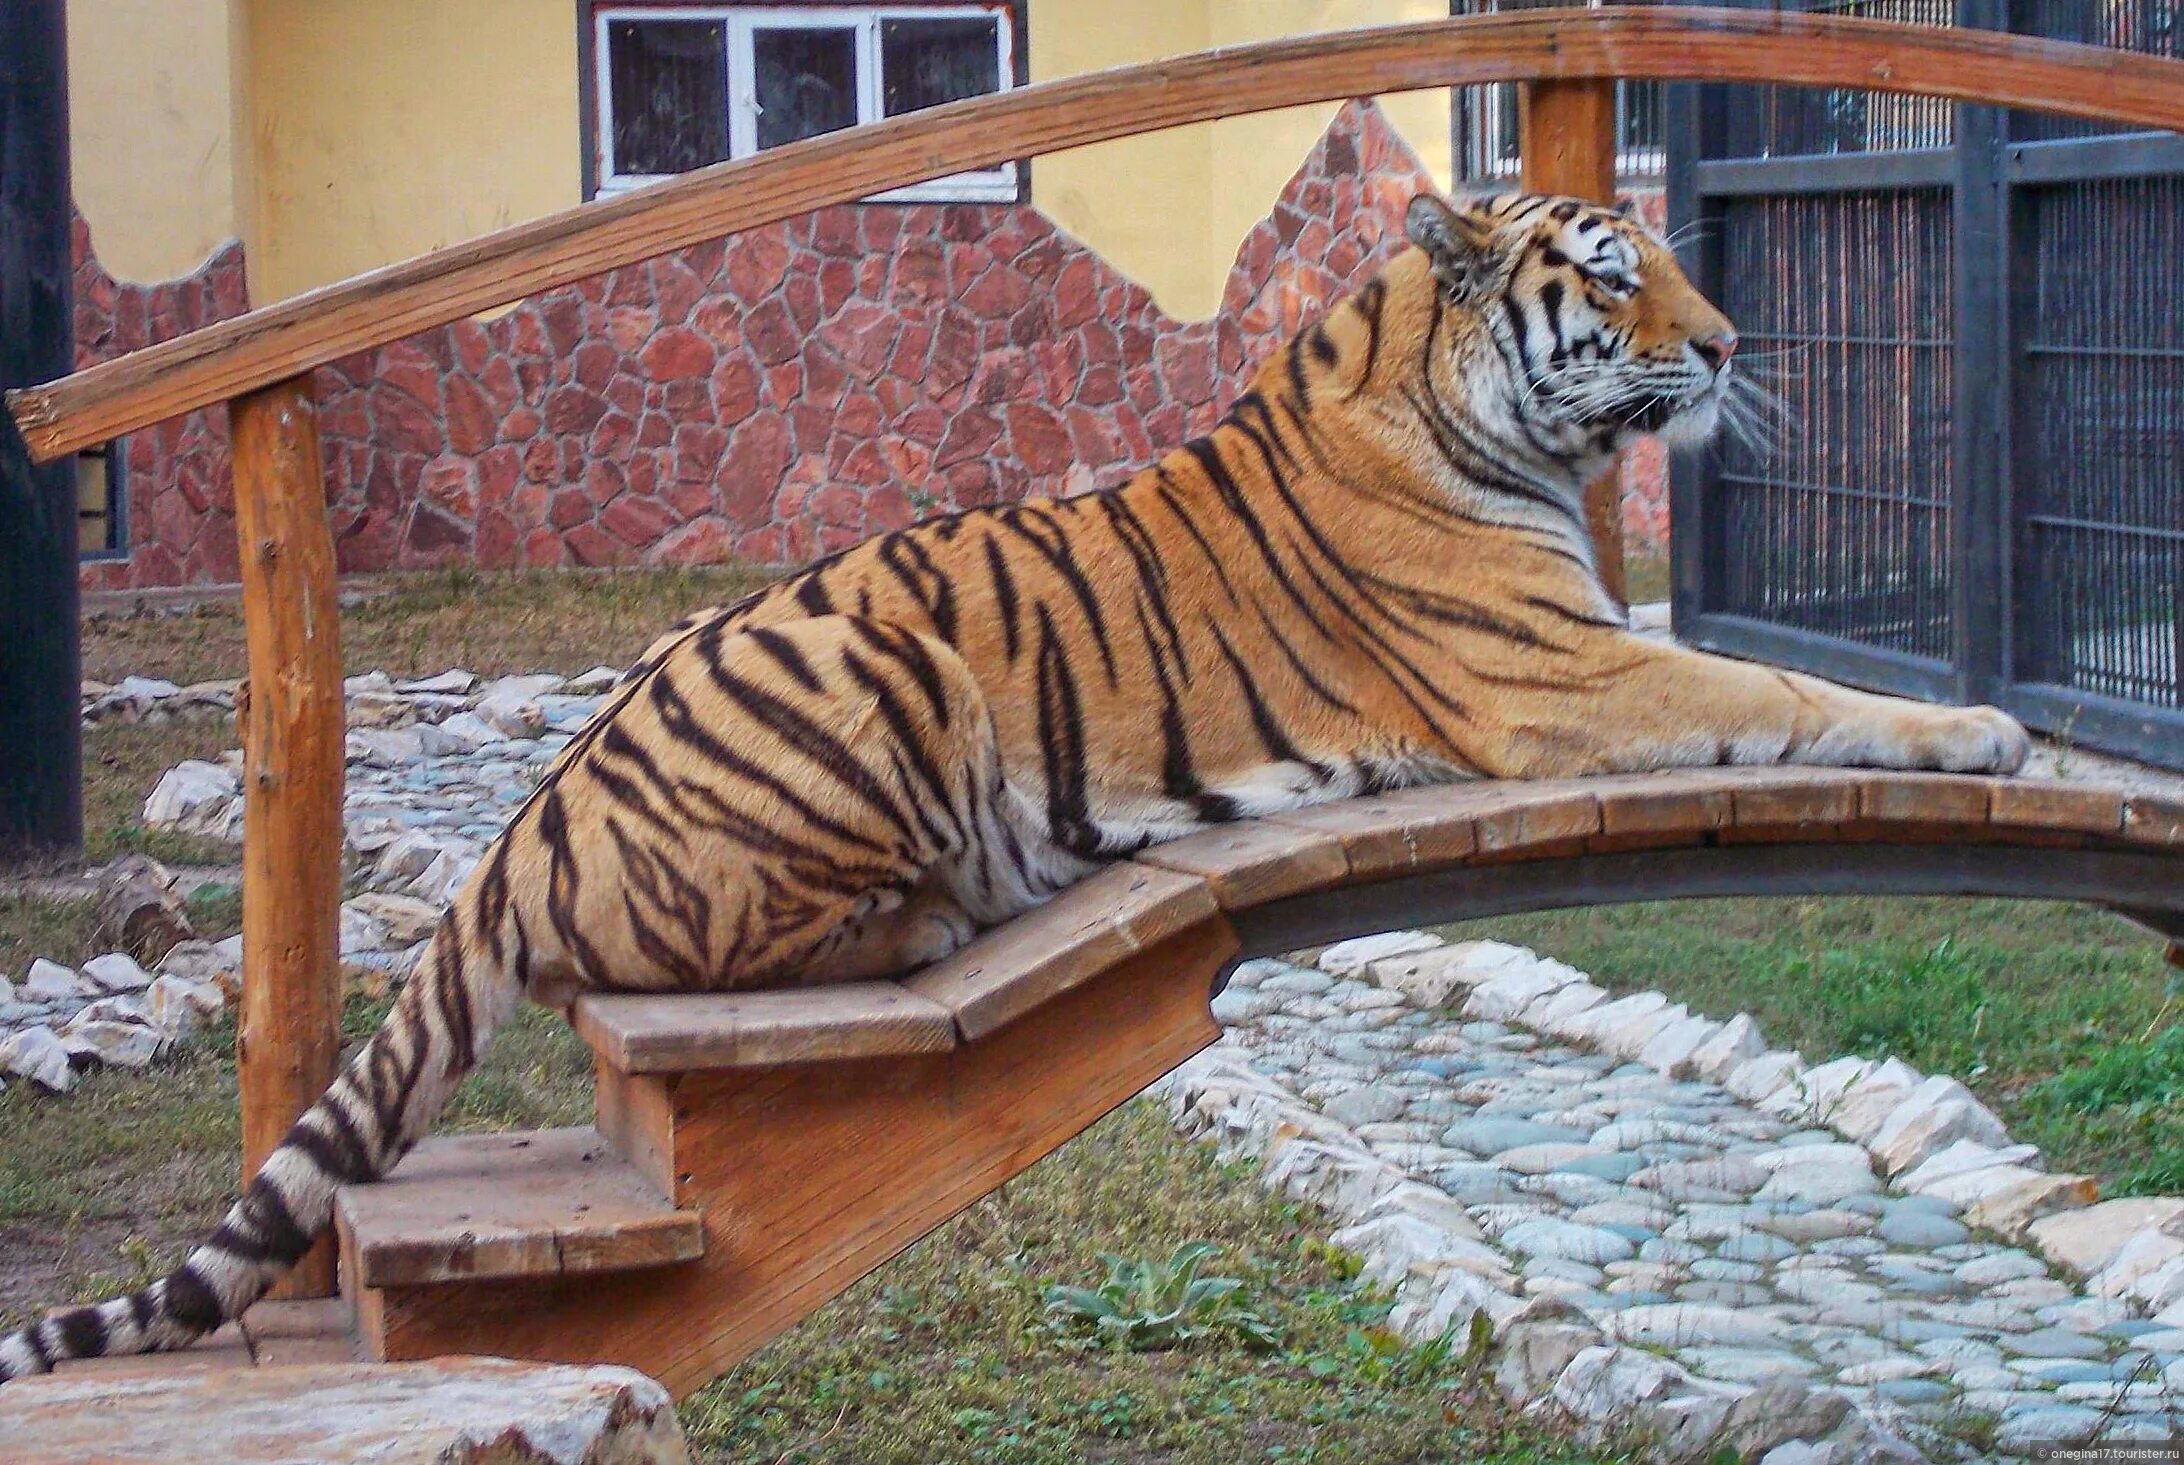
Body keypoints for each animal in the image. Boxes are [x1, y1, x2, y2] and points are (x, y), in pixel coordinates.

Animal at [0, 188, 2026, 1379]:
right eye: (1617, 276)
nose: (1733, 344)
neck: (1448, 397)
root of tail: (533, 811)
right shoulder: (1568, 681)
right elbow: (1781, 687)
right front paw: (1985, 735)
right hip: (868, 674)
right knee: (684, 955)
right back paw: (930, 918)